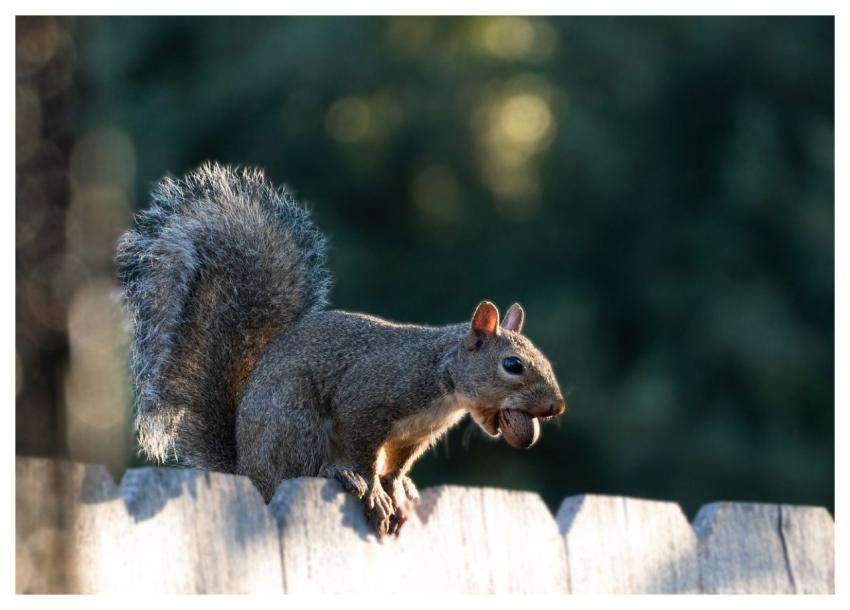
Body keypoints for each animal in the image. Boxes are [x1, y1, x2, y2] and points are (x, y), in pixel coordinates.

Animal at [116, 162, 566, 537]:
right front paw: (373, 489)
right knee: (305, 470)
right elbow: (363, 451)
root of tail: (246, 471)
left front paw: (396, 486)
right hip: (294, 421)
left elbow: (397, 464)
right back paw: (339, 475)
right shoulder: (370, 396)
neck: (442, 379)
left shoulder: (415, 435)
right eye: (512, 365)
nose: (556, 406)